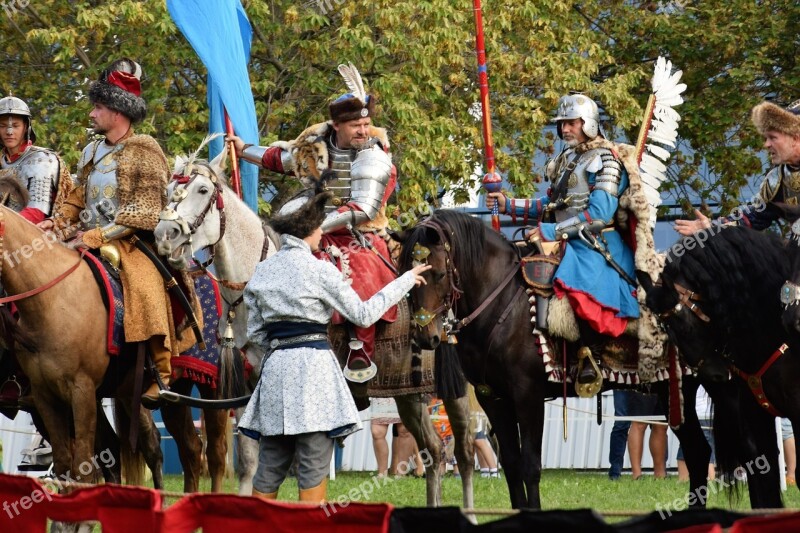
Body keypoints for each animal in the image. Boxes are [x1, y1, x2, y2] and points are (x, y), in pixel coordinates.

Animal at [153, 147, 472, 508]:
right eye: (168, 190)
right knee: (432, 451)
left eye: (202, 190)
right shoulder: (247, 389)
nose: (165, 237)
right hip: (410, 397)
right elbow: (250, 462)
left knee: (461, 451)